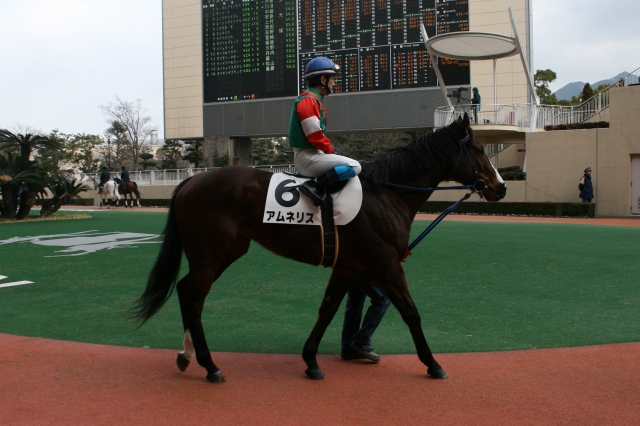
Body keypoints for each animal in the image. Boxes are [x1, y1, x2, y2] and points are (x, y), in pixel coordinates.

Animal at [131, 114, 507, 383]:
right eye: (477, 149)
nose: (501, 187)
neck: (387, 193)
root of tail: (190, 181)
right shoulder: (386, 263)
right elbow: (410, 311)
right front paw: (432, 363)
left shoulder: (349, 266)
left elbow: (327, 309)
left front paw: (311, 360)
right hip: (212, 255)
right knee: (194, 298)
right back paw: (210, 366)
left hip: (224, 253)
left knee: (186, 291)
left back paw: (186, 356)